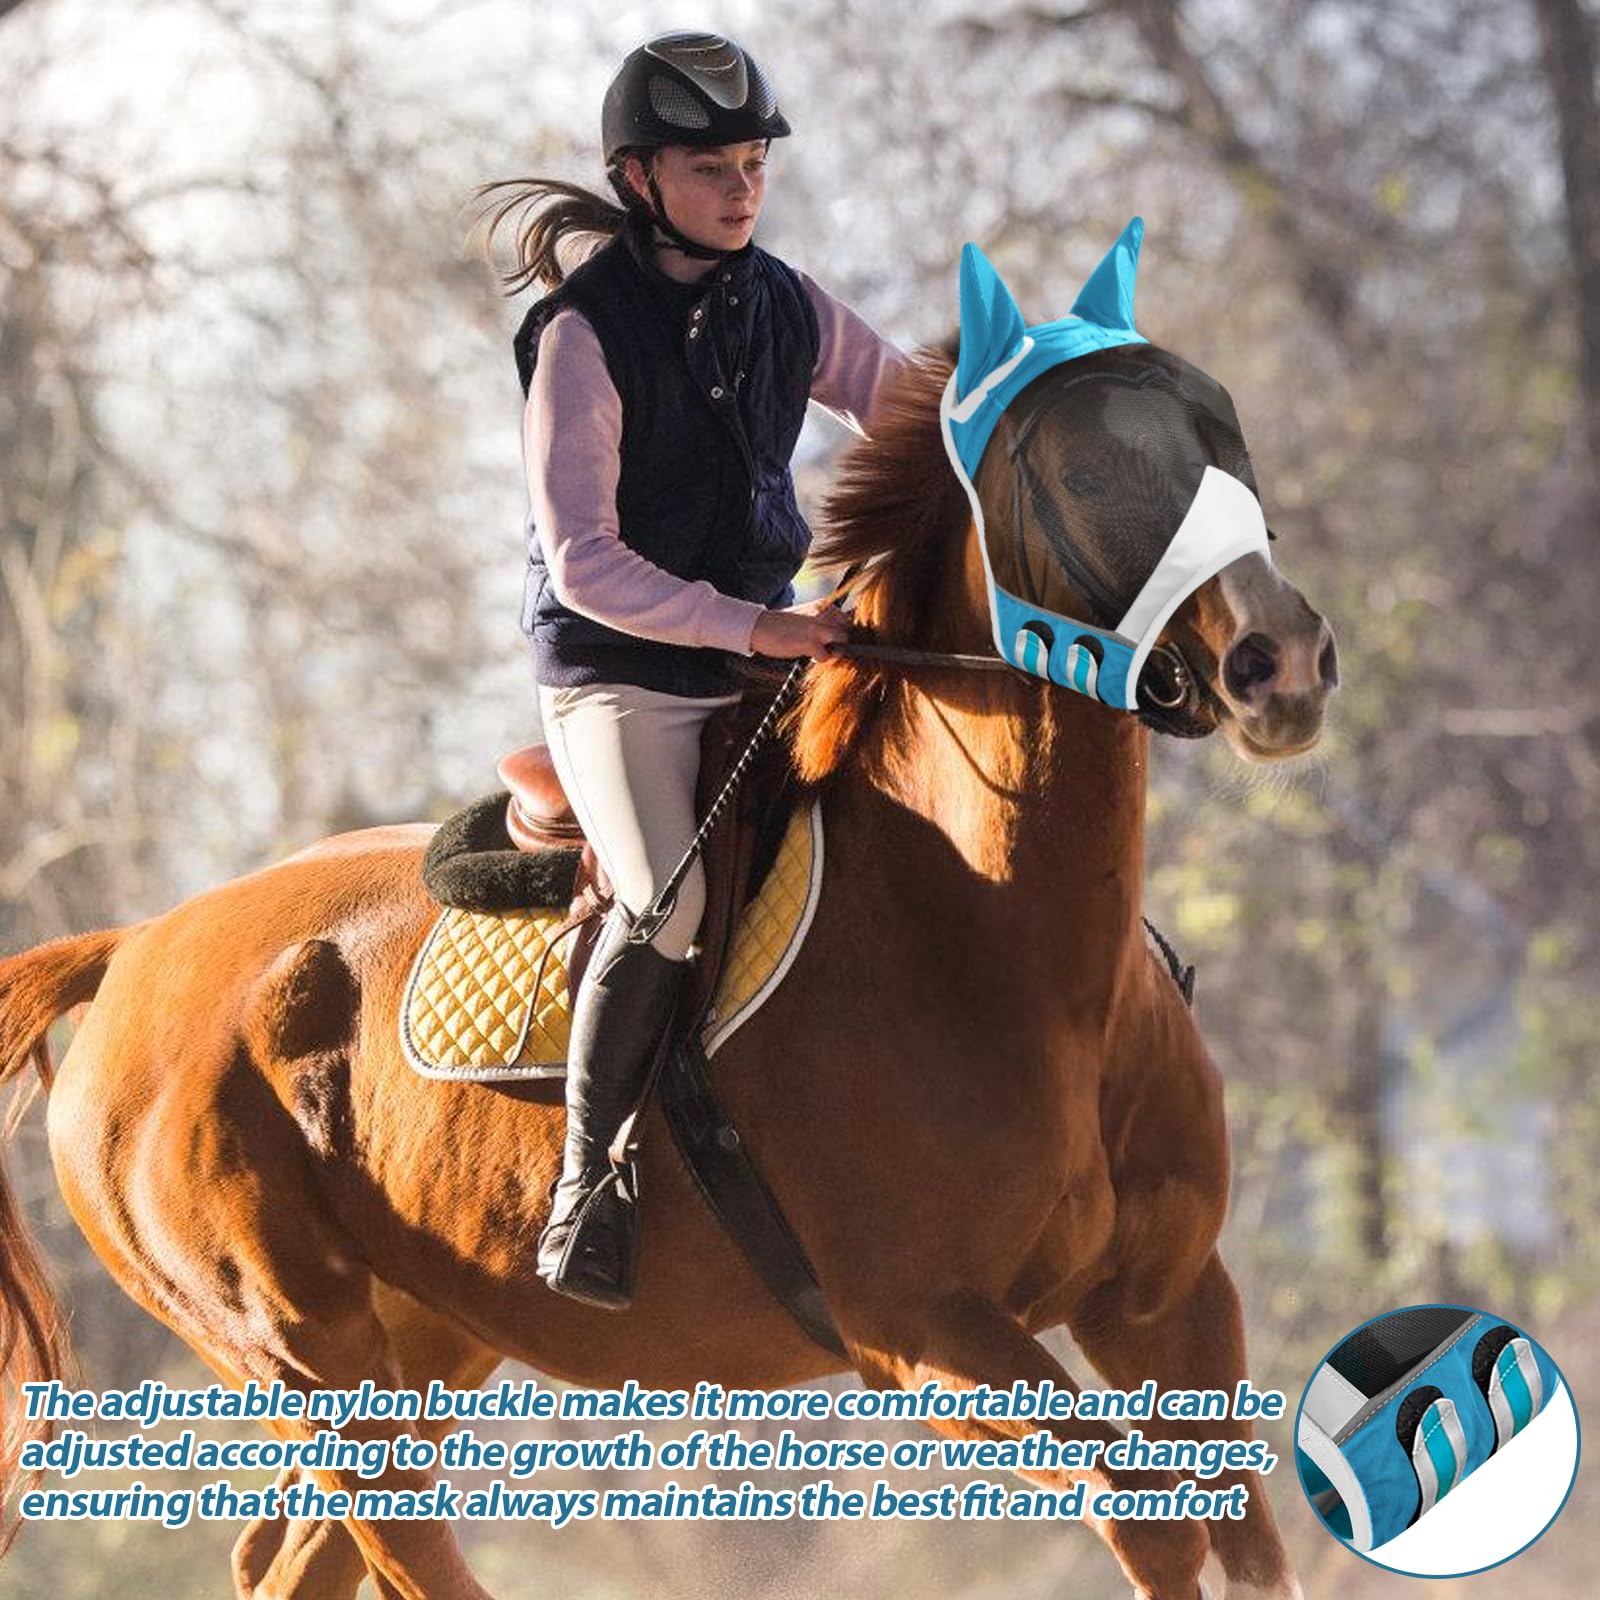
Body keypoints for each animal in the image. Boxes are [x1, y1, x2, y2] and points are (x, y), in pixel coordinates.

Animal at [0, 339, 1336, 1600]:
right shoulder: (929, 1331)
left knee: (295, 1557)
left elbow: (1245, 1539)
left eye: (1226, 432)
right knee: (398, 1540)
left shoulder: (1168, 1301)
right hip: (306, 1351)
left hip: (427, 1340)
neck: (1018, 956)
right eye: (1085, 472)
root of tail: (134, 950)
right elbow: (1152, 1521)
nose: (1282, 662)